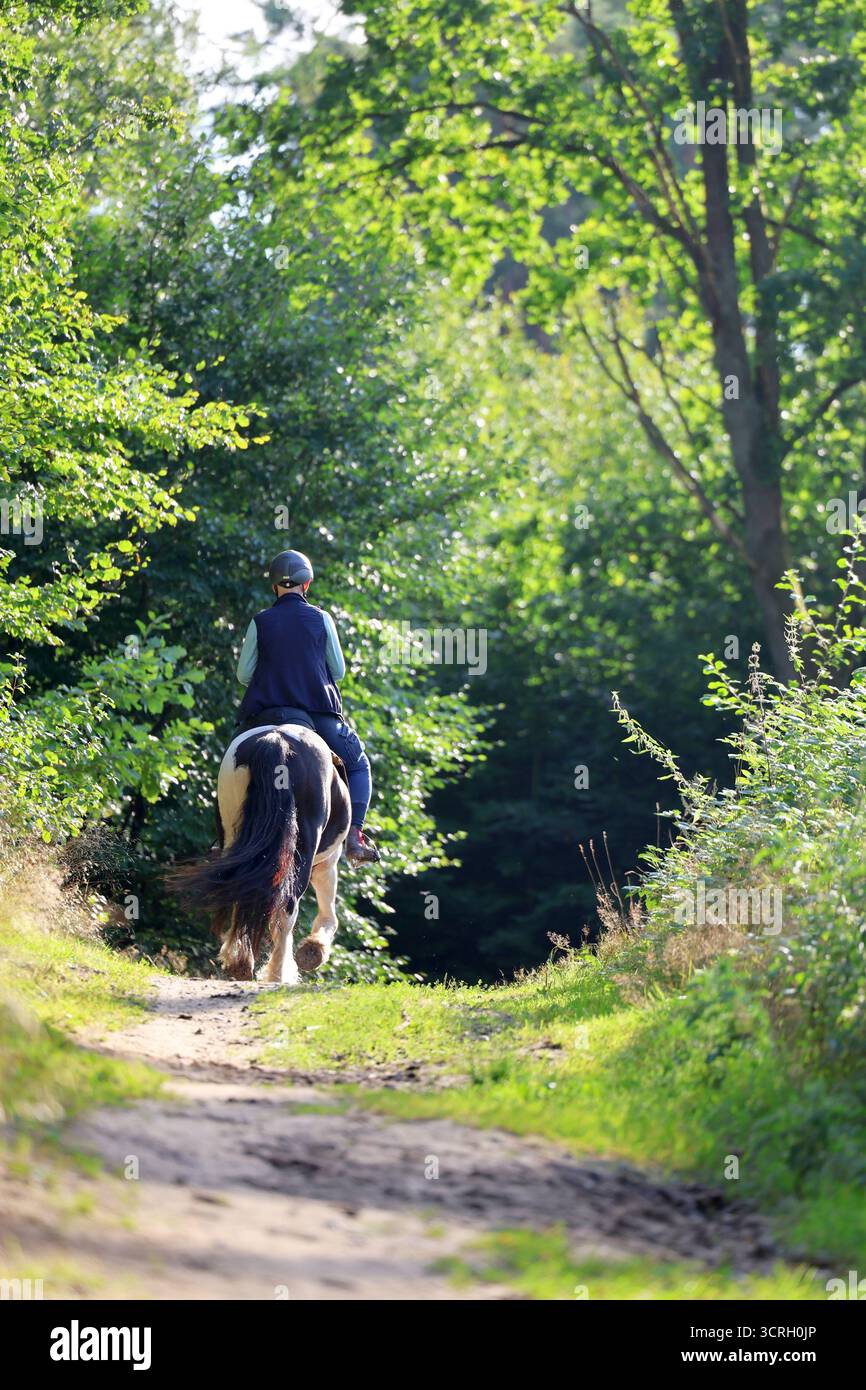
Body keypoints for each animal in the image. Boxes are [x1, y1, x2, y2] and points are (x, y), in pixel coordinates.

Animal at [176, 723, 351, 984]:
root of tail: (276, 740)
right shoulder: (327, 862)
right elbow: (328, 913)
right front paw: (315, 949)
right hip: (303, 851)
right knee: (287, 907)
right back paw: (277, 973)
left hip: (237, 839)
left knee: (242, 889)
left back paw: (239, 962)